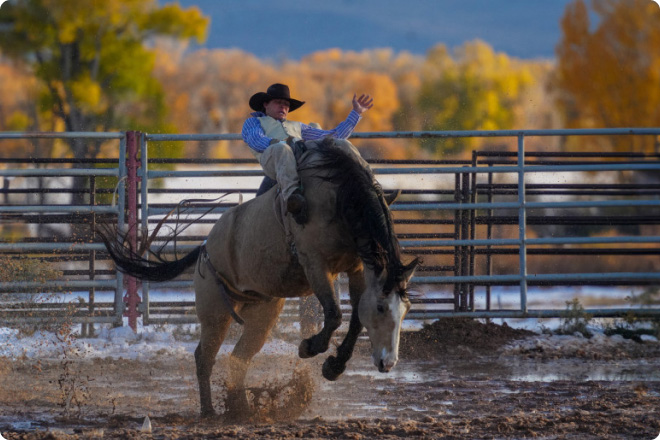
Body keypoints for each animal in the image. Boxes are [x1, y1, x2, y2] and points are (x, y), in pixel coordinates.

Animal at [100, 138, 419, 418]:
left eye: (406, 310)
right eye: (381, 308)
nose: (388, 363)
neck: (340, 195)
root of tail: (204, 247)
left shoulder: (356, 267)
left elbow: (354, 320)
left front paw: (333, 367)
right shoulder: (315, 263)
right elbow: (335, 314)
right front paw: (308, 347)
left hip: (262, 313)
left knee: (239, 358)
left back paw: (240, 408)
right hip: (215, 313)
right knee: (205, 356)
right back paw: (210, 410)